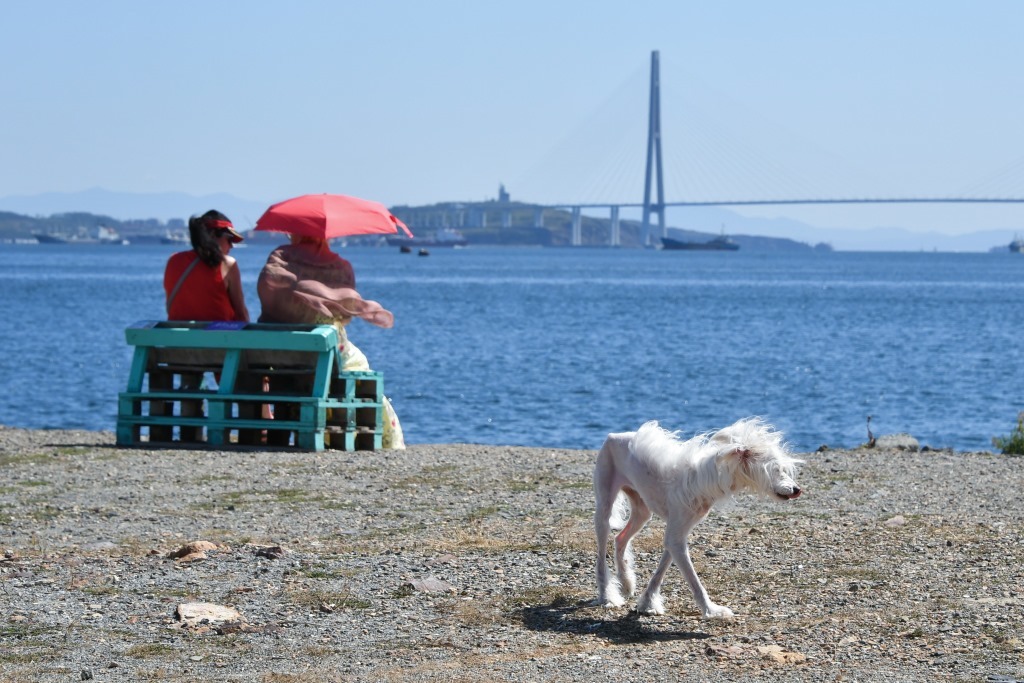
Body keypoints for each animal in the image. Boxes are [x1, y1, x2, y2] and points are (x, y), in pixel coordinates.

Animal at [598, 417, 802, 618]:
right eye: (776, 470)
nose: (797, 490)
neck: (703, 480)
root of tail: (614, 435)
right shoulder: (676, 536)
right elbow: (694, 581)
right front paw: (711, 610)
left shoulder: (677, 534)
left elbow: (660, 571)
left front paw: (647, 602)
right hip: (604, 507)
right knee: (602, 552)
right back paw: (607, 595)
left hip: (642, 511)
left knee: (620, 538)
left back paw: (626, 582)